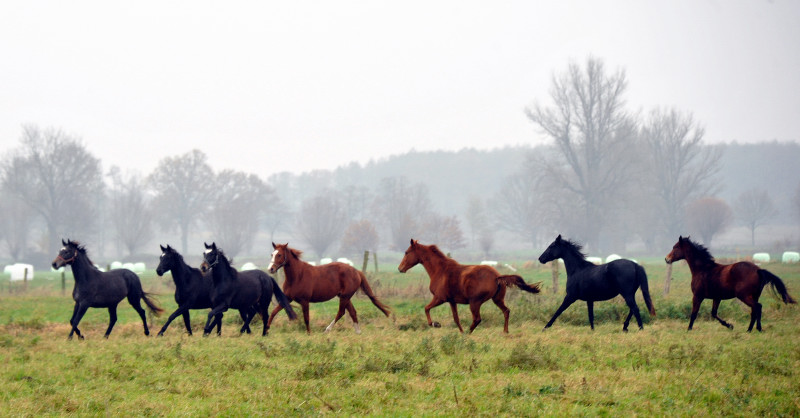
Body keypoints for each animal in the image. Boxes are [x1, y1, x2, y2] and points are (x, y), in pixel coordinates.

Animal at [396, 238, 540, 334]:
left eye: (406, 252)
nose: (400, 269)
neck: (440, 270)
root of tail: (497, 276)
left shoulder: (439, 298)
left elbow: (426, 308)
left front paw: (435, 324)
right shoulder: (452, 301)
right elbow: (456, 318)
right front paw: (459, 332)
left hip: (474, 302)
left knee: (477, 319)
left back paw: (468, 333)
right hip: (497, 299)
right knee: (506, 311)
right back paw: (505, 331)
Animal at [664, 235, 796, 330]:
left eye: (675, 247)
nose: (666, 259)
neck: (703, 269)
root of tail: (758, 270)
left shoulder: (698, 296)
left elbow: (694, 314)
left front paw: (689, 329)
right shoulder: (717, 298)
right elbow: (713, 313)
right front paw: (730, 326)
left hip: (744, 295)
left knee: (758, 307)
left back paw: (757, 329)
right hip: (754, 295)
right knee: (754, 310)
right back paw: (749, 330)